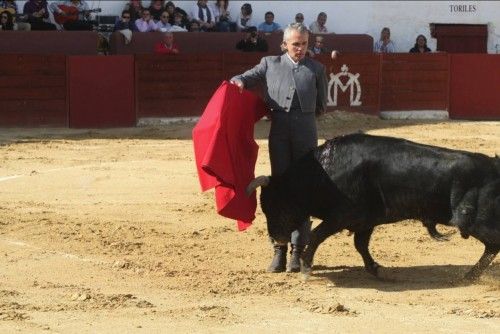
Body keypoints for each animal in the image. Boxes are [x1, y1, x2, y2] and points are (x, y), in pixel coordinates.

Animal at [247, 133, 500, 280]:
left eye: (276, 204)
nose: (277, 236)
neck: (324, 173)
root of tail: (494, 165)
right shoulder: (364, 221)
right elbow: (361, 245)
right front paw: (376, 268)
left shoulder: (342, 216)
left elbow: (317, 235)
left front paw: (306, 267)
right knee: (491, 246)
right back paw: (470, 276)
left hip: (477, 222)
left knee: (493, 244)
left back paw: (471, 276)